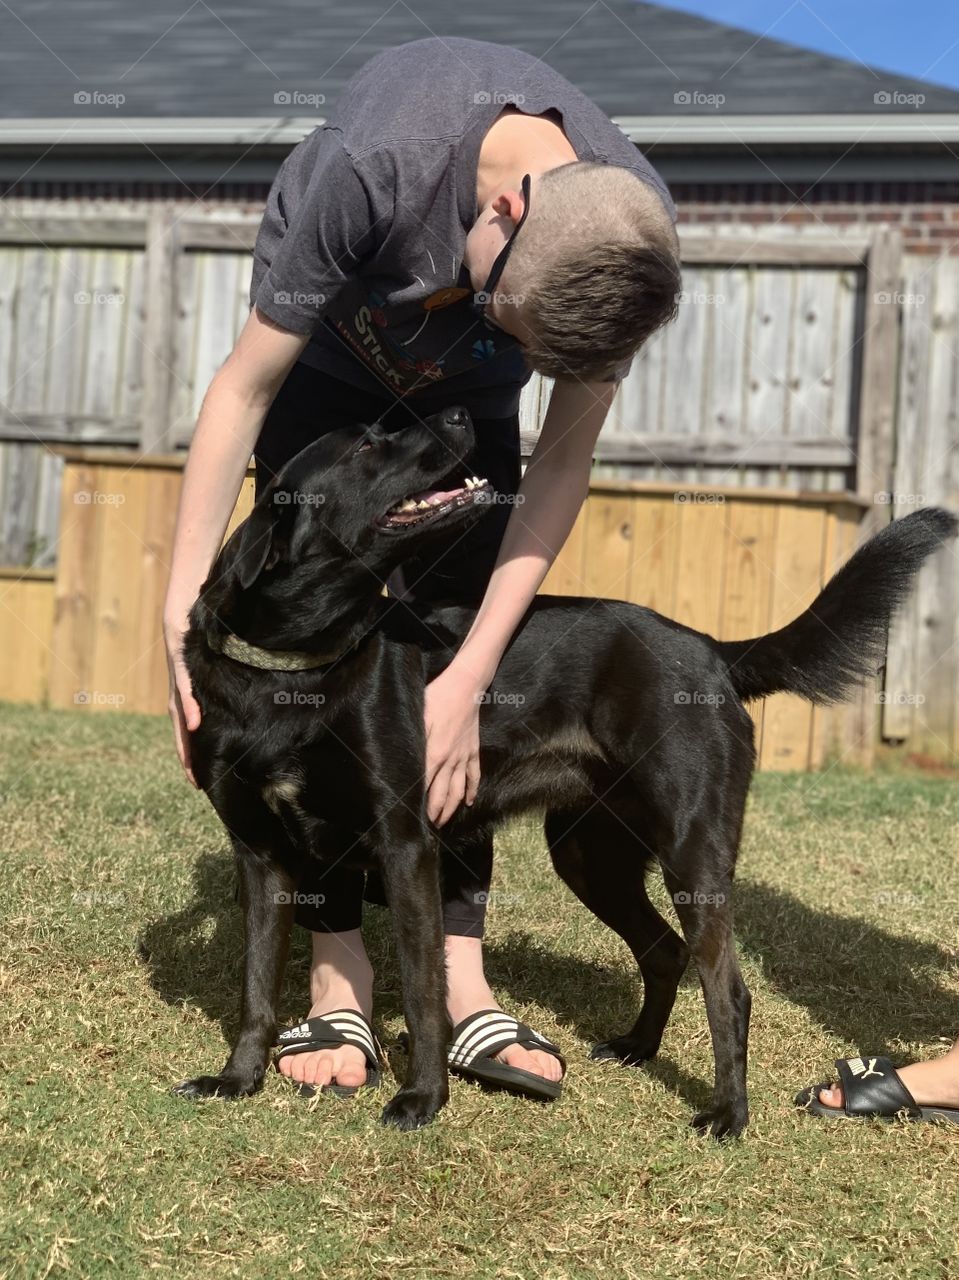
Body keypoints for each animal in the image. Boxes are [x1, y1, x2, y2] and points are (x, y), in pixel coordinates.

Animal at [174, 404, 957, 1136]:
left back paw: (728, 1113)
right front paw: (237, 1079)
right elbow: (255, 989)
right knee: (664, 951)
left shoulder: (406, 848)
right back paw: (640, 1048)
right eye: (366, 443)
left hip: (691, 853)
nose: (460, 412)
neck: (293, 672)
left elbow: (426, 993)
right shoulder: (263, 857)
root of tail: (711, 649)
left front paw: (423, 1098)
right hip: (590, 855)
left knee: (728, 990)